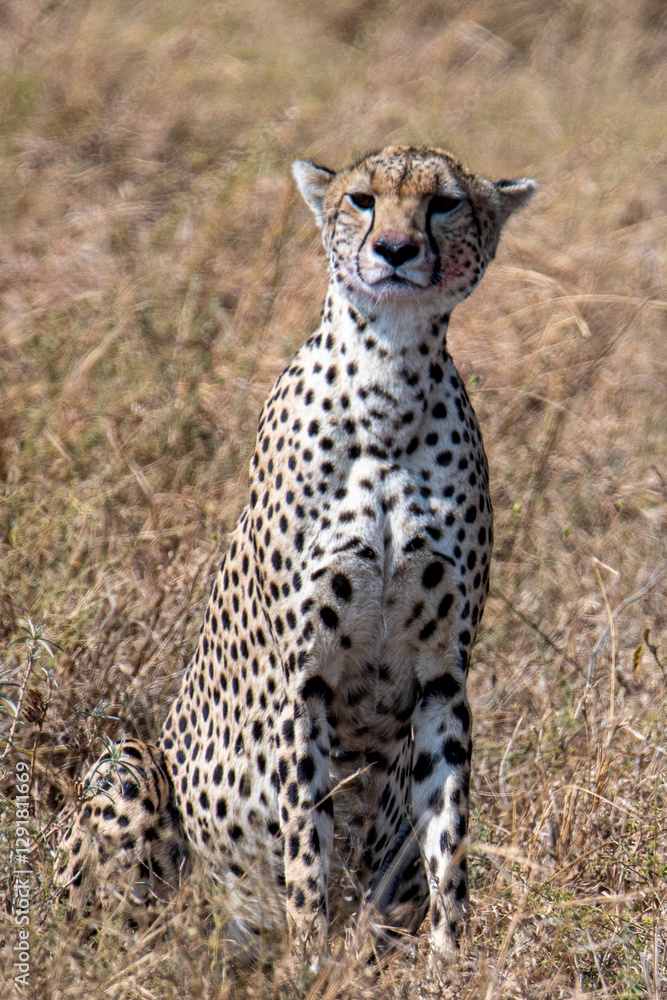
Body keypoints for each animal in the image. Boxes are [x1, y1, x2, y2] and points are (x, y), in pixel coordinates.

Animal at [54, 144, 536, 965]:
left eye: (442, 203)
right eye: (363, 199)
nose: (395, 249)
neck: (391, 382)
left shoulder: (444, 676)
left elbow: (448, 839)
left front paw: (451, 961)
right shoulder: (300, 673)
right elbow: (306, 835)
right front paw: (311, 958)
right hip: (128, 771)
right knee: (116, 921)